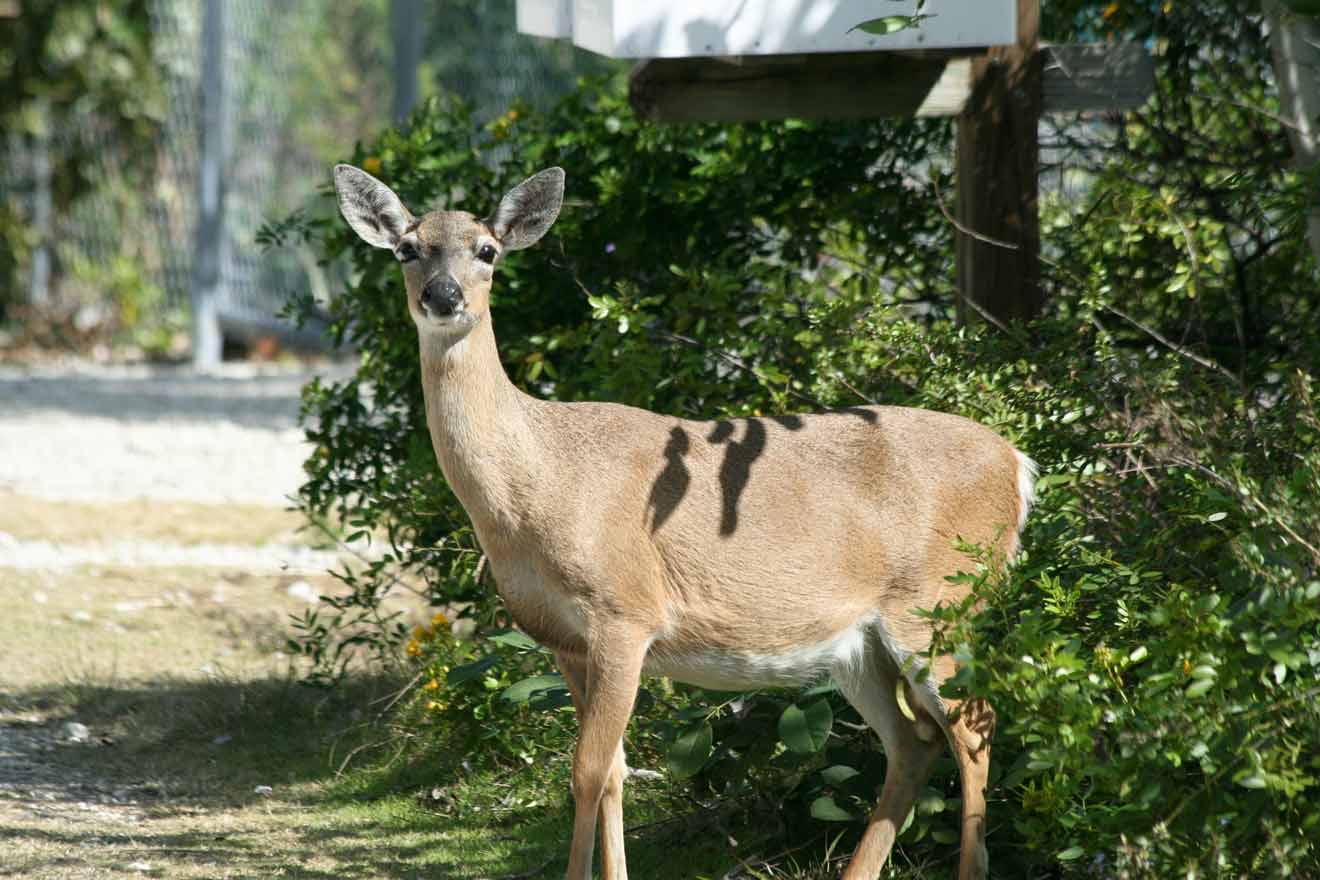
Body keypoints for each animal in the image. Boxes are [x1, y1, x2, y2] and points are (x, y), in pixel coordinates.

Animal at [330, 164, 1029, 880]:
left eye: (488, 250)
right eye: (407, 249)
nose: (442, 295)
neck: (540, 484)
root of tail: (1017, 464)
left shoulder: (625, 611)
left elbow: (586, 771)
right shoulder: (563, 639)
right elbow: (612, 772)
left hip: (941, 600)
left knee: (974, 725)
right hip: (859, 642)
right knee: (915, 740)